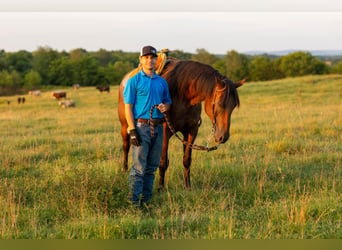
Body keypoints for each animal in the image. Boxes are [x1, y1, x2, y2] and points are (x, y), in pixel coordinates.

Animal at [117, 58, 243, 190]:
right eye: (219, 104)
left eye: (233, 106)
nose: (223, 137)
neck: (184, 94)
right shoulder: (165, 131)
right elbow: (163, 161)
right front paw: (160, 187)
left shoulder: (191, 131)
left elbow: (187, 160)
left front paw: (187, 185)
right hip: (125, 127)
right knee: (126, 146)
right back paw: (124, 169)